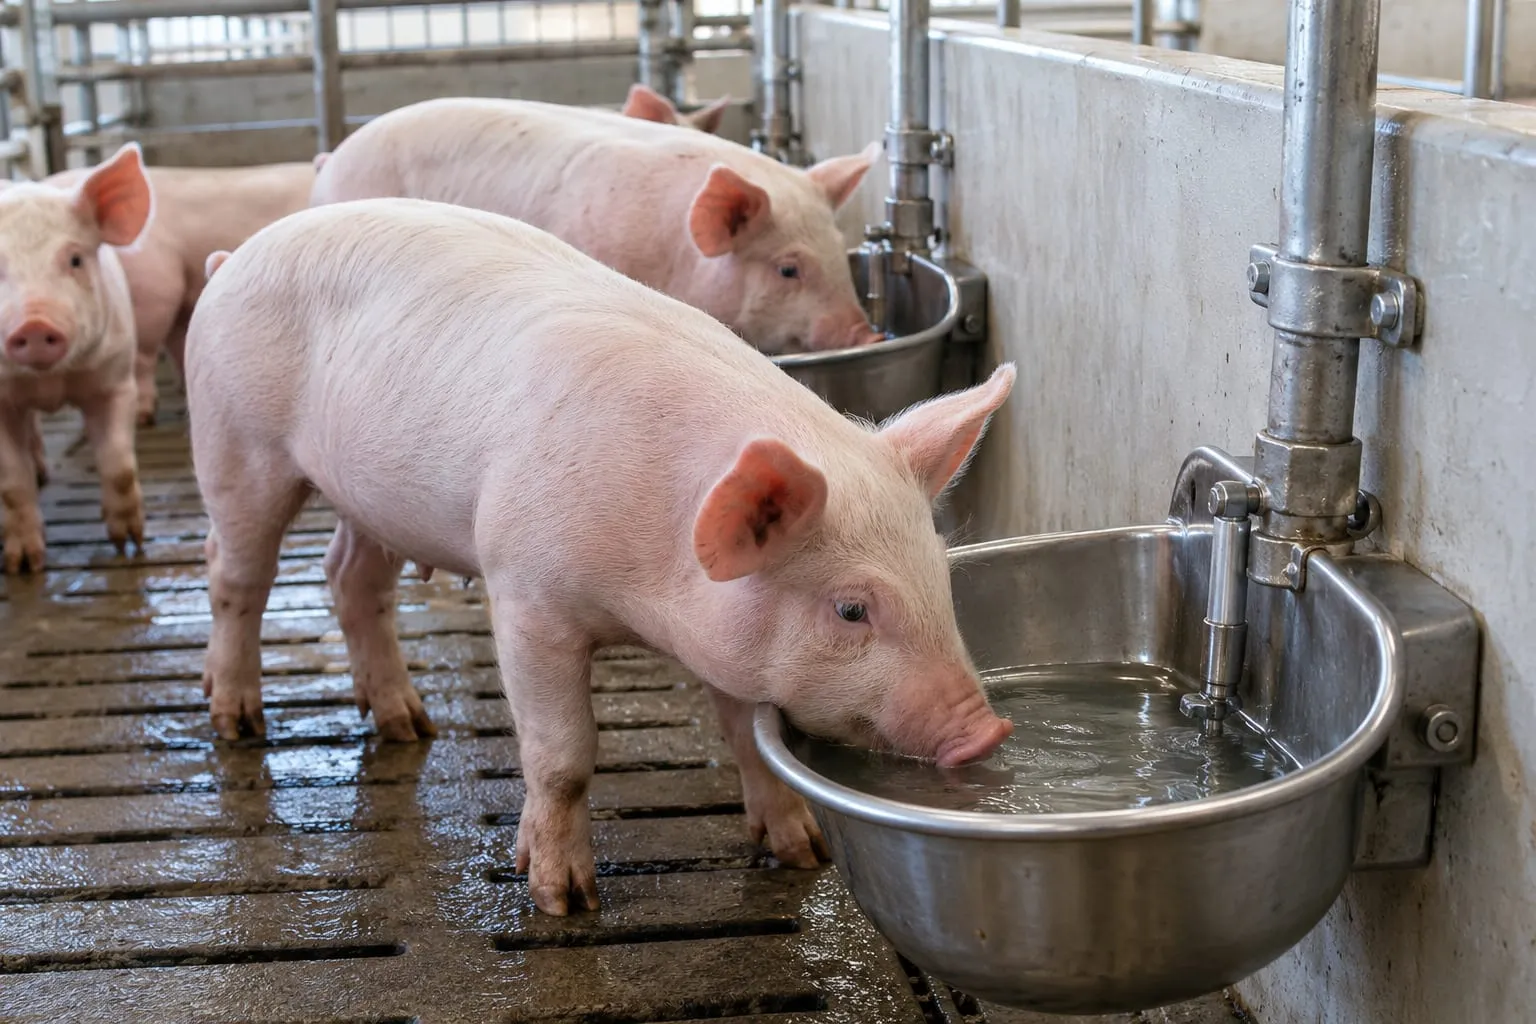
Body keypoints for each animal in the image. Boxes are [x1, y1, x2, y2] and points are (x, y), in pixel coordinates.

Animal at [0, 144, 151, 574]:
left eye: (75, 260)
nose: (34, 324)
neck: (49, 384)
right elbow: (11, 484)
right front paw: (24, 565)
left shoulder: (116, 378)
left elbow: (120, 466)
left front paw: (128, 545)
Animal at [188, 197, 1014, 915]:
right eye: (851, 608)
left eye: (940, 580)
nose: (987, 729)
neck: (643, 589)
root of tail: (235, 257)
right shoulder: (526, 595)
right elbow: (562, 757)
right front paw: (562, 899)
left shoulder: (724, 634)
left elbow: (748, 738)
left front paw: (802, 852)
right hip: (236, 442)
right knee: (234, 573)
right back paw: (236, 720)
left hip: (372, 497)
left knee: (349, 579)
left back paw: (407, 726)